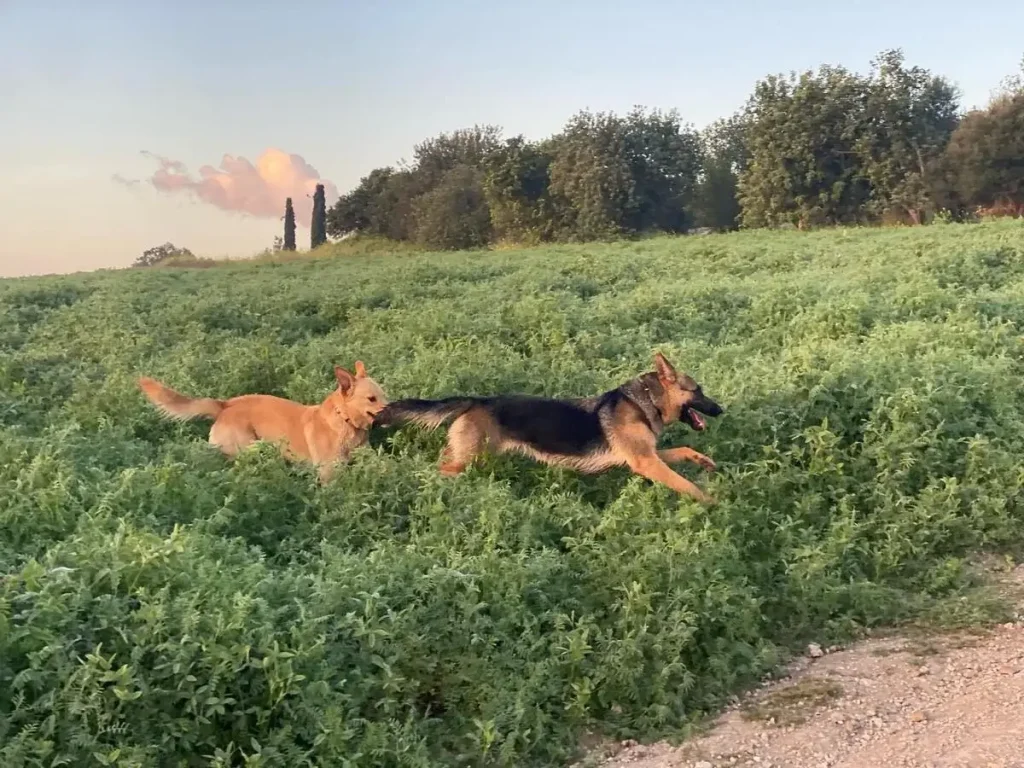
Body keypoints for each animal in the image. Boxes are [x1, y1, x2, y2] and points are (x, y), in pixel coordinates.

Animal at [138, 364, 385, 483]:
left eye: (385, 395)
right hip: (247, 451)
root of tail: (224, 405)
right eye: (371, 399)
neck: (345, 422)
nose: (392, 408)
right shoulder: (328, 474)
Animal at [374, 354, 720, 505]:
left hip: (468, 455)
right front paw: (713, 503)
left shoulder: (646, 456)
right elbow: (687, 486)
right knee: (442, 472)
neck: (645, 401)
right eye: (698, 390)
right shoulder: (645, 463)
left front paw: (705, 462)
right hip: (468, 460)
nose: (722, 410)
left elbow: (685, 451)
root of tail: (476, 400)